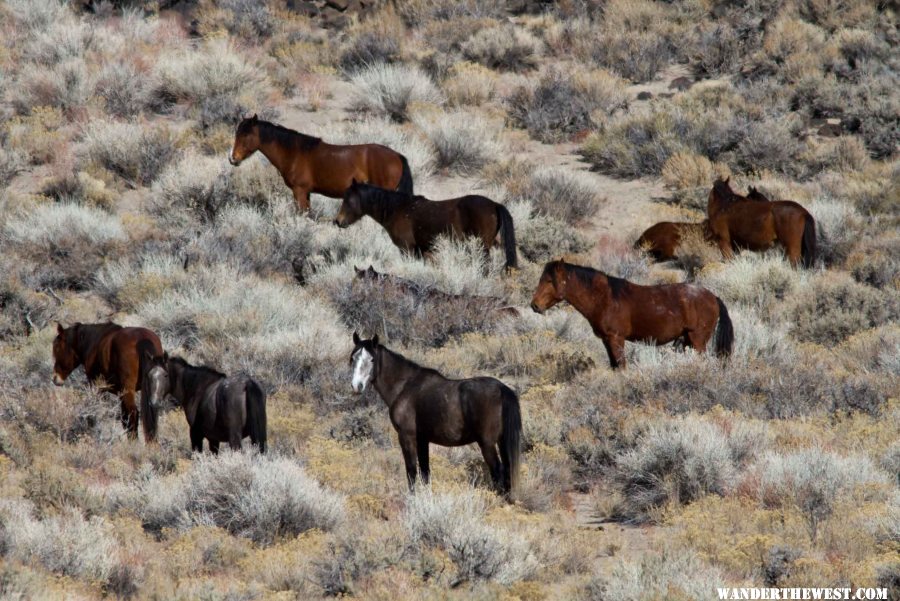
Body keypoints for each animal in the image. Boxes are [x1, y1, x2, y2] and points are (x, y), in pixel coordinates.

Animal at [227, 115, 414, 213]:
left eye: (246, 135)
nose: (232, 158)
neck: (294, 153)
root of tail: (397, 156)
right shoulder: (307, 193)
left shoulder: (299, 191)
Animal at [336, 180, 520, 270]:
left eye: (348, 199)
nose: (338, 221)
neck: (398, 209)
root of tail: (494, 204)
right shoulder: (421, 250)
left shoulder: (406, 248)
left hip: (482, 246)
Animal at [348, 330, 524, 494]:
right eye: (353, 358)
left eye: (372, 359)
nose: (357, 386)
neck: (404, 386)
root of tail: (501, 388)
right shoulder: (422, 439)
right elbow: (425, 473)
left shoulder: (407, 436)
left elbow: (411, 471)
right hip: (501, 441)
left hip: (487, 443)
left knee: (498, 472)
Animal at [528, 260, 732, 368]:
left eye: (549, 281)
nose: (535, 305)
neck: (605, 298)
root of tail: (712, 296)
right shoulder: (606, 341)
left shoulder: (616, 339)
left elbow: (622, 366)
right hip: (689, 340)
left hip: (698, 340)